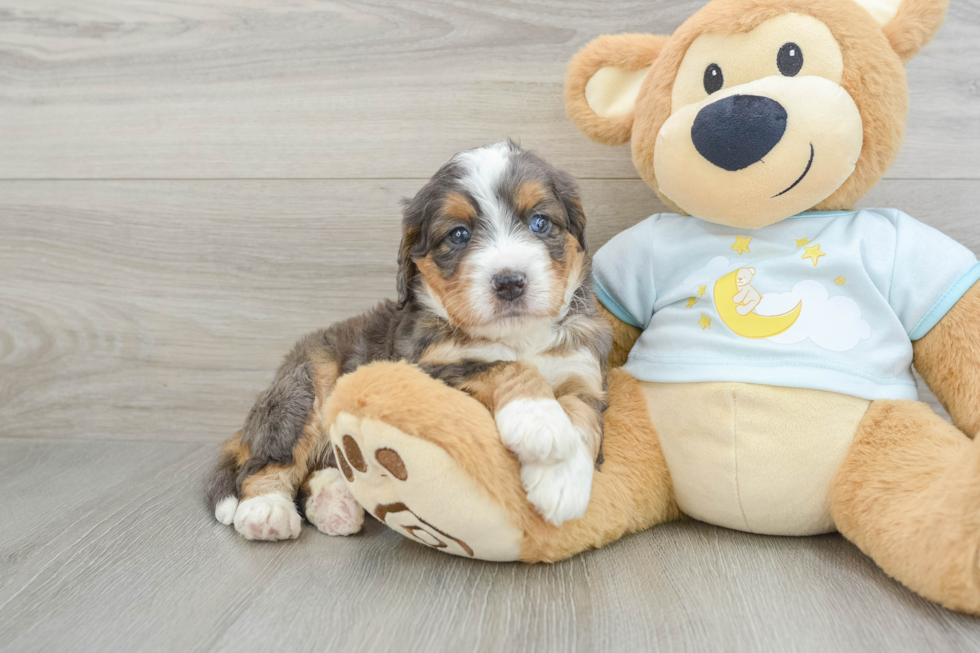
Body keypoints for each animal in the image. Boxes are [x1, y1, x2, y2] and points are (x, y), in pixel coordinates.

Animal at [204, 143, 608, 540]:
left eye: (540, 222)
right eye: (458, 234)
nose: (510, 281)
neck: (516, 337)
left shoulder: (583, 372)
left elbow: (581, 415)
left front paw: (562, 483)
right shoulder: (425, 370)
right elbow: (502, 366)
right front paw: (539, 422)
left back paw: (335, 504)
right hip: (304, 387)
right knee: (266, 463)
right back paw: (266, 512)